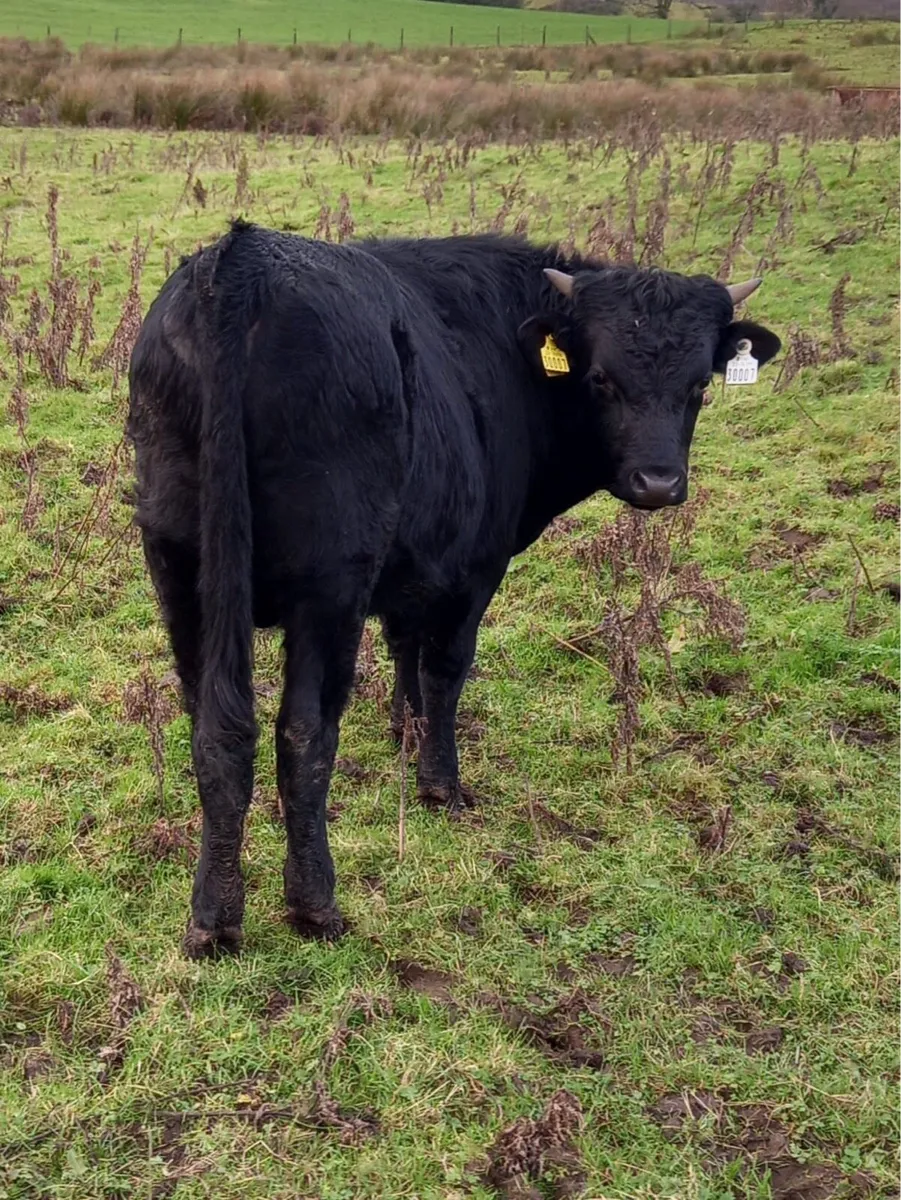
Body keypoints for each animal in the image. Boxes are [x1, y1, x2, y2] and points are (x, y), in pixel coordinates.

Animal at [127, 222, 781, 957]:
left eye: (698, 384)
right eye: (600, 379)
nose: (658, 483)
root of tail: (242, 259)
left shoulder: (417, 562)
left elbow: (405, 649)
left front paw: (403, 733)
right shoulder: (474, 568)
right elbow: (444, 668)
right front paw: (441, 784)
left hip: (180, 569)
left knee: (214, 730)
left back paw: (211, 916)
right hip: (328, 584)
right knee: (303, 734)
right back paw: (314, 905)